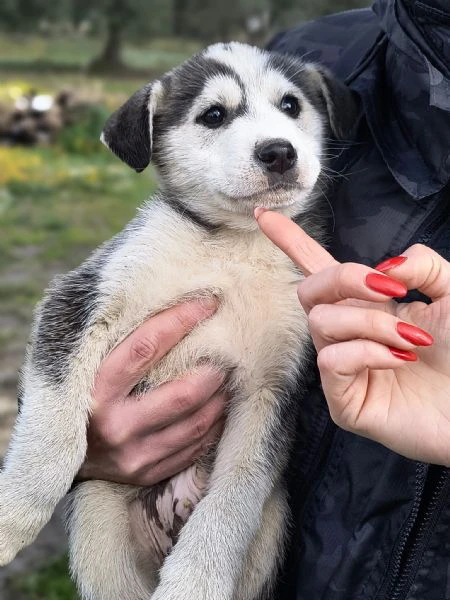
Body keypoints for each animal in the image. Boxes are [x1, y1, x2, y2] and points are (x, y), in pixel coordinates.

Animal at [0, 43, 358, 600]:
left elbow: (234, 498)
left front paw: (196, 579)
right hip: (98, 531)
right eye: (213, 115)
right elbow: (52, 439)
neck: (234, 251)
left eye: (291, 105)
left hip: (270, 531)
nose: (279, 152)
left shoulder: (273, 387)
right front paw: (14, 515)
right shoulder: (78, 299)